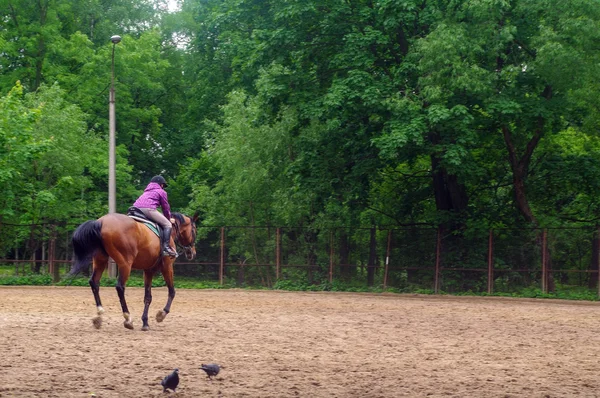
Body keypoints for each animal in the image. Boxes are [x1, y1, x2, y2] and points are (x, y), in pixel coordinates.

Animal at [69, 213, 198, 332]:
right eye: (194, 230)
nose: (192, 252)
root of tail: (100, 222)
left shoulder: (148, 270)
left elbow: (148, 297)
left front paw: (145, 322)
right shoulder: (167, 267)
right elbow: (172, 292)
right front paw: (161, 314)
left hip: (100, 260)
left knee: (94, 283)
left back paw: (99, 316)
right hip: (125, 264)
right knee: (120, 287)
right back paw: (128, 318)